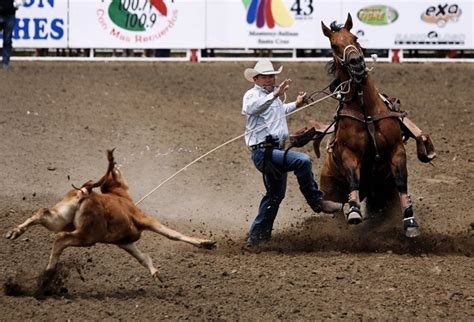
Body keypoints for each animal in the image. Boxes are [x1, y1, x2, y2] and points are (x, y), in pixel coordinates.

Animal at [5, 150, 217, 280]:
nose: (117, 166)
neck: (120, 197)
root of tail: (85, 192)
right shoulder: (145, 220)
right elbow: (172, 234)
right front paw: (205, 242)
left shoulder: (123, 241)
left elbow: (141, 256)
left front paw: (154, 271)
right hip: (86, 236)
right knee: (61, 239)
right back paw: (48, 272)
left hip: (60, 219)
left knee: (42, 214)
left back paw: (14, 233)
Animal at [316, 13, 420, 238]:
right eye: (334, 45)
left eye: (355, 38)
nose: (356, 62)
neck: (368, 112)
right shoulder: (350, 153)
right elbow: (353, 179)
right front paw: (354, 211)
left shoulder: (396, 150)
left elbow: (402, 182)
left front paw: (410, 220)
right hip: (330, 194)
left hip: (382, 194)